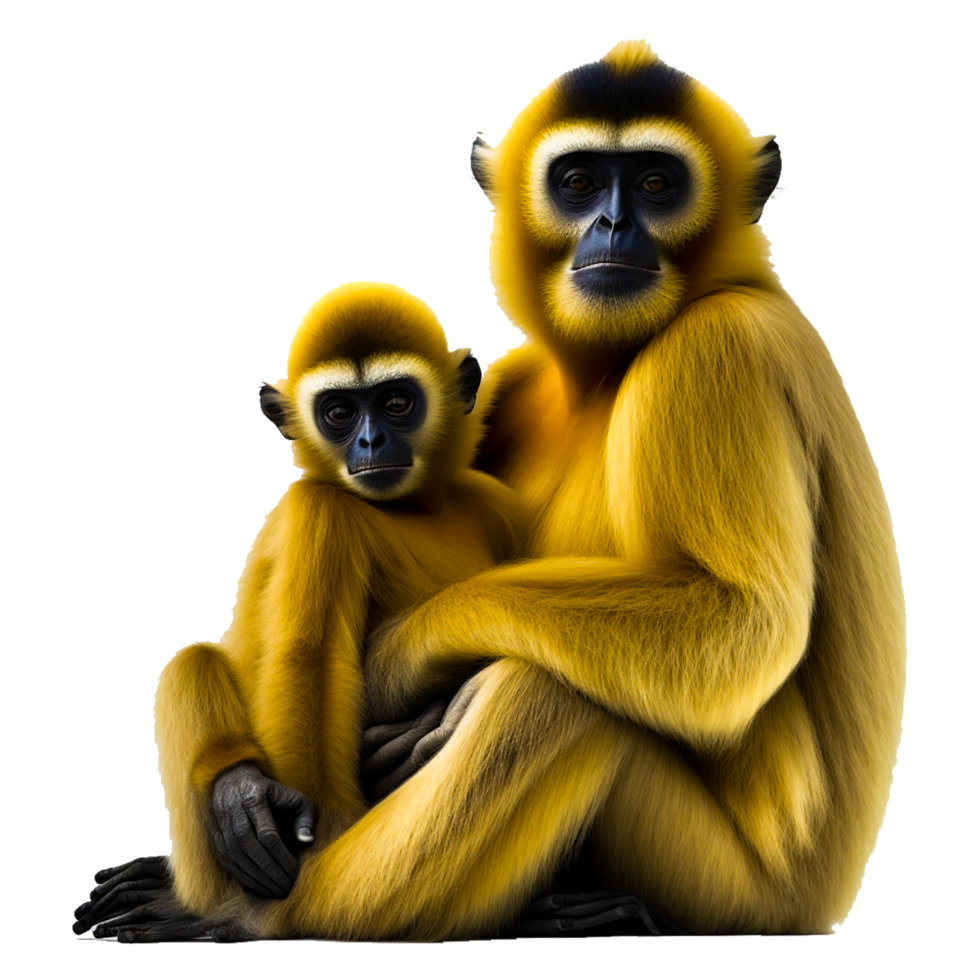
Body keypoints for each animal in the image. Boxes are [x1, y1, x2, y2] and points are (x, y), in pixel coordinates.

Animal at [73, 38, 906, 940]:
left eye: (657, 183)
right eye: (579, 182)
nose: (614, 223)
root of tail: (822, 898)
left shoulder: (720, 353)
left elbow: (740, 626)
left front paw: (401, 664)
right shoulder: (512, 379)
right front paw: (238, 790)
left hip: (730, 891)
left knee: (552, 696)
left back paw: (274, 913)